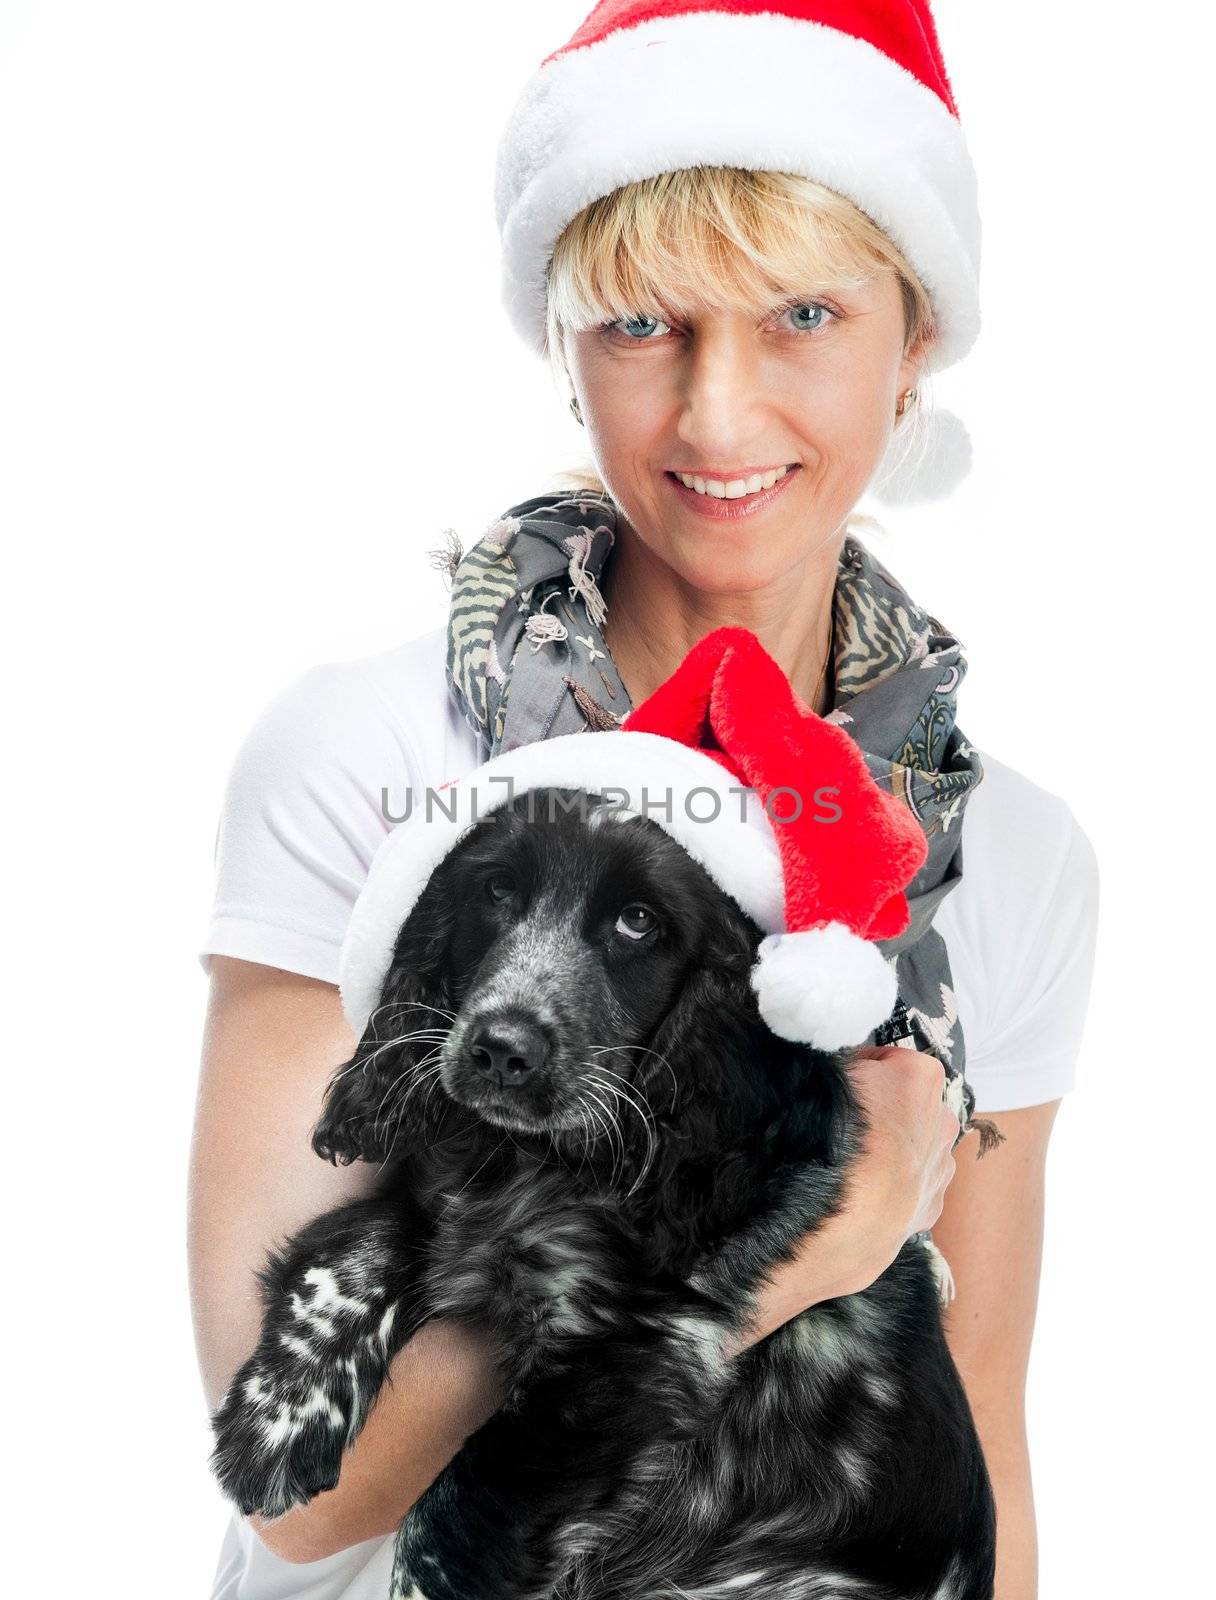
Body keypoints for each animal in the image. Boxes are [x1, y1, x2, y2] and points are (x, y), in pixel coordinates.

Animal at [211, 790, 998, 1600]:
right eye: (496, 891)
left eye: (638, 921)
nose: (500, 1049)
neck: (531, 1165)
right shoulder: (434, 1200)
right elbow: (355, 1244)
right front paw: (275, 1420)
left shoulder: (635, 1348)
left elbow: (451, 1527)